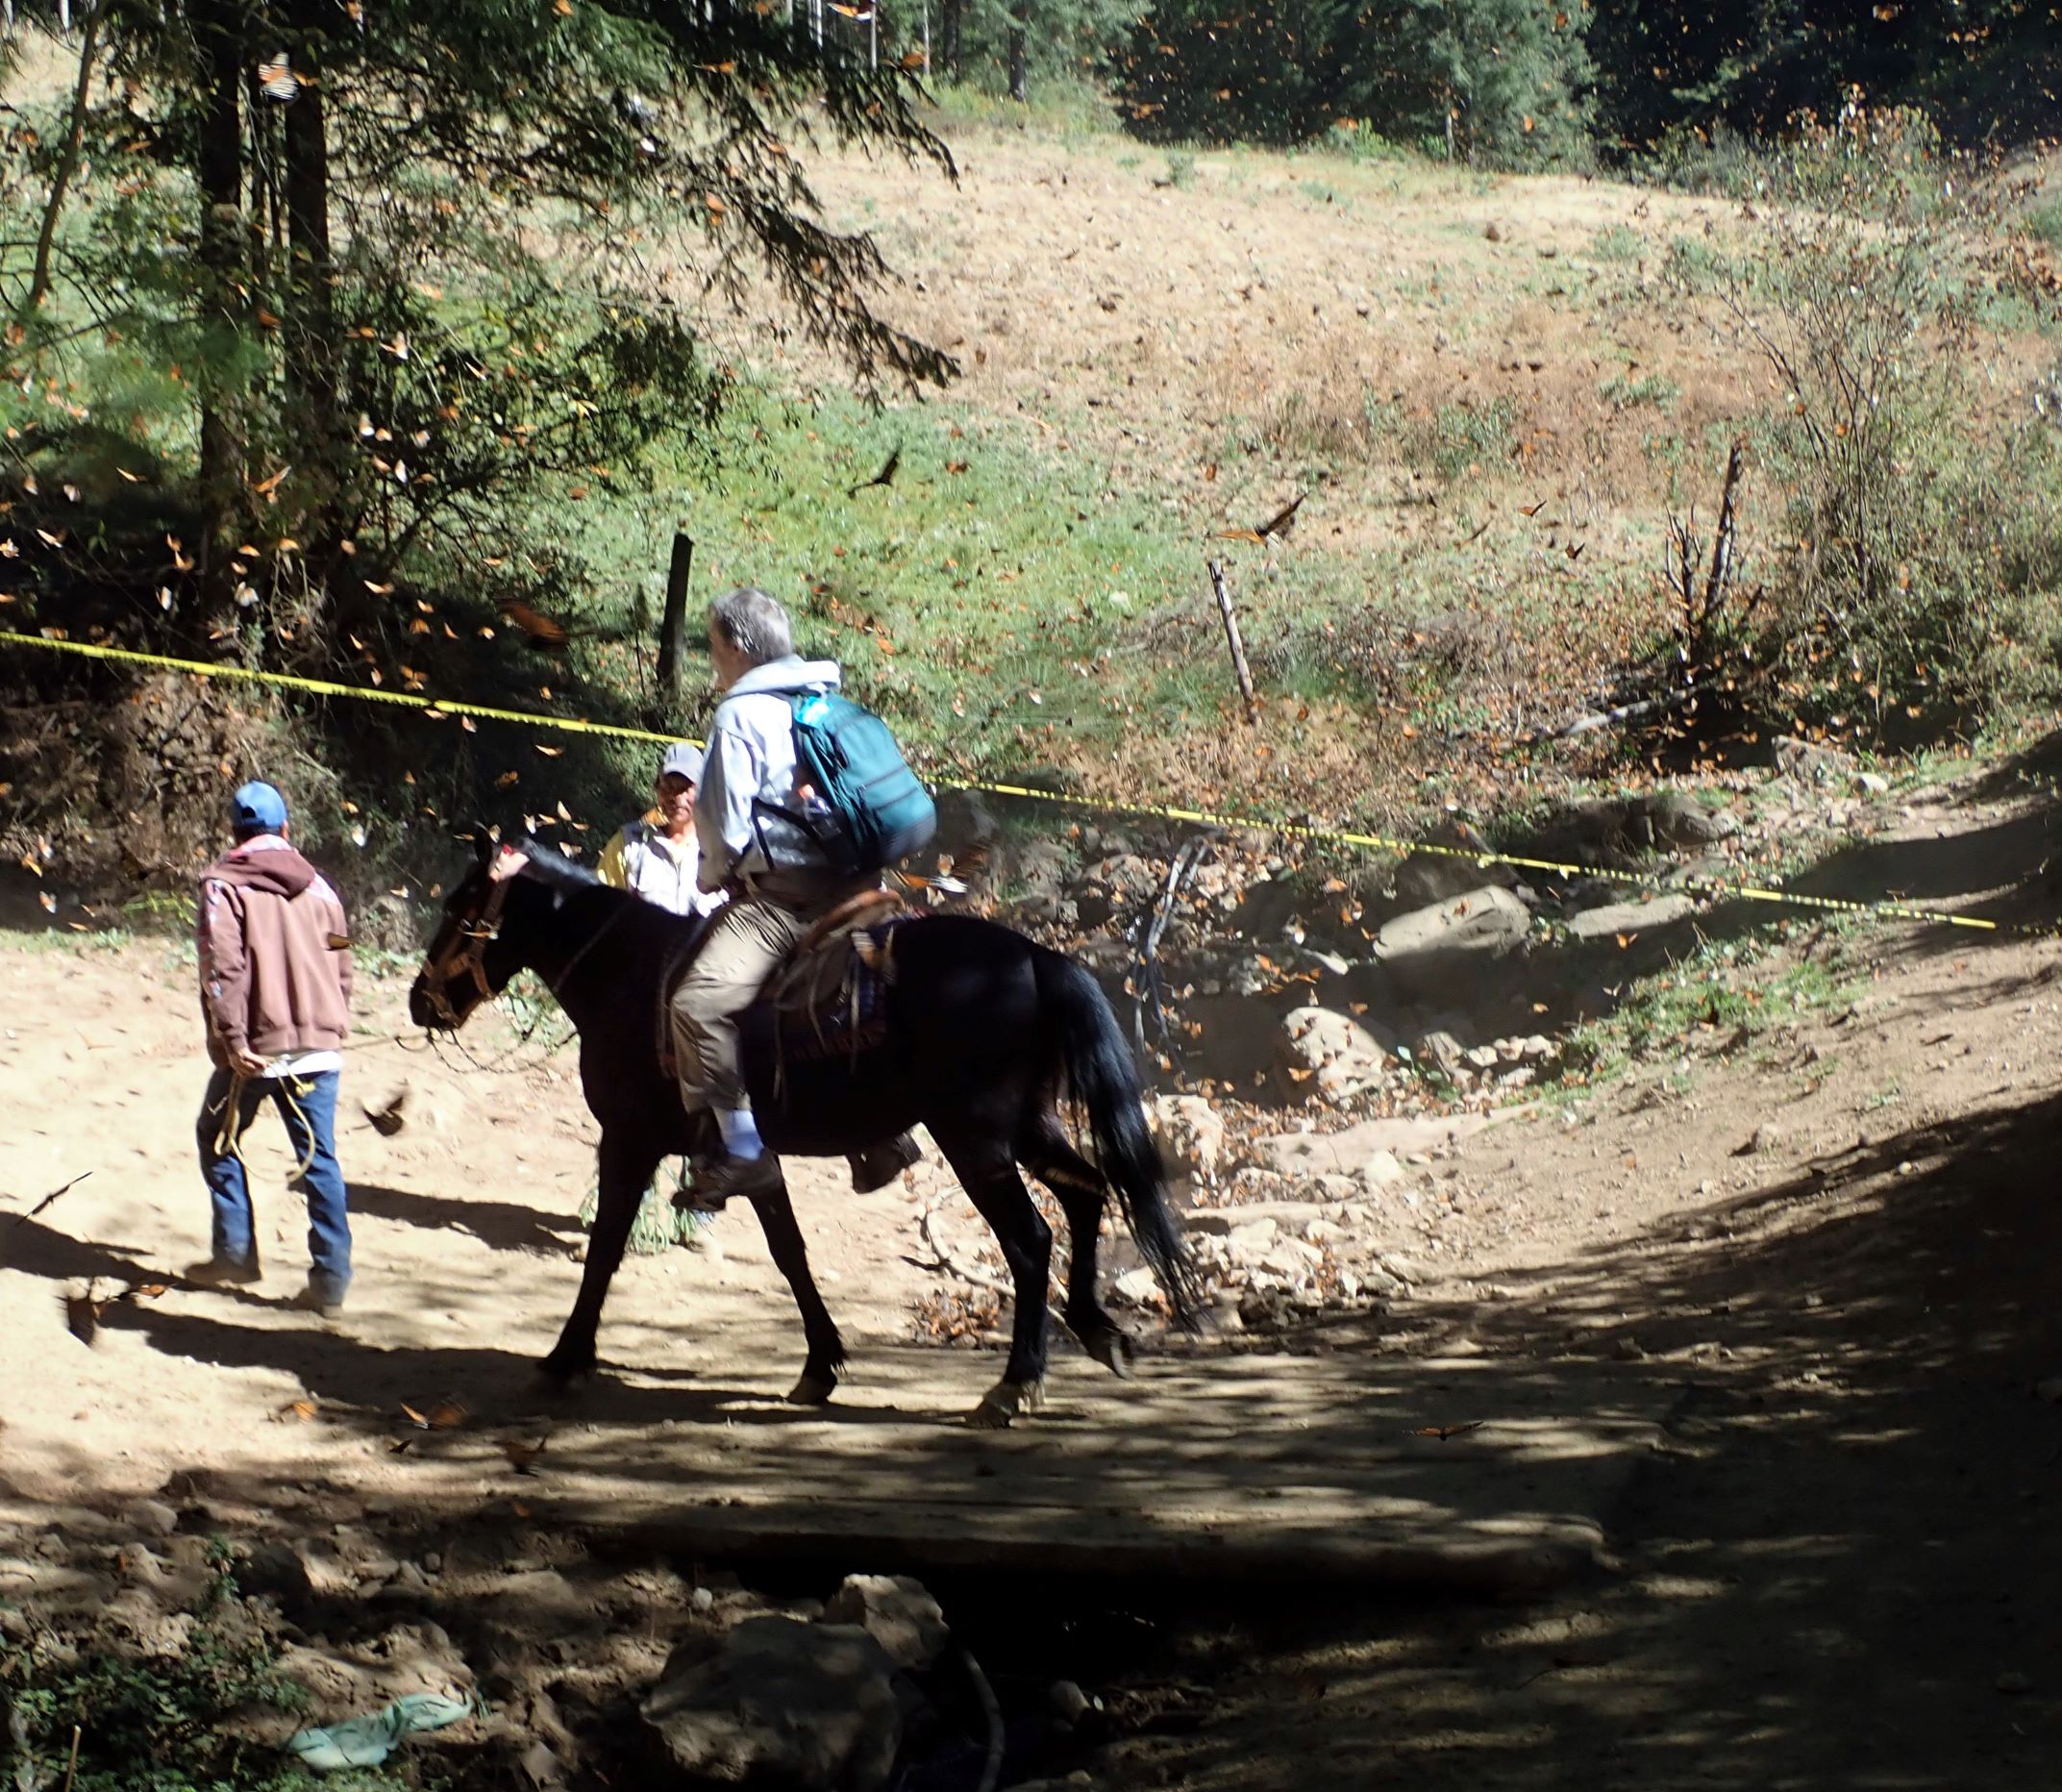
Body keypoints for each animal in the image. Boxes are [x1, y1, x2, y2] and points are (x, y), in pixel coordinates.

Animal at [410, 836, 1204, 1427]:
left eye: (457, 905)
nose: (421, 1001)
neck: (628, 973)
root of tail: (1038, 958)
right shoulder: (748, 1155)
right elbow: (788, 1251)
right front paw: (821, 1364)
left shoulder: (629, 1141)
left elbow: (605, 1248)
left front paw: (565, 1358)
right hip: (1028, 1127)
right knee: (1087, 1193)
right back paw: (1097, 1331)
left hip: (975, 1139)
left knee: (1030, 1239)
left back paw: (1014, 1385)